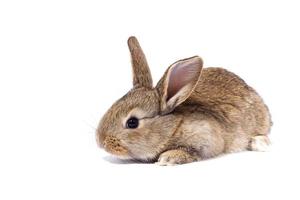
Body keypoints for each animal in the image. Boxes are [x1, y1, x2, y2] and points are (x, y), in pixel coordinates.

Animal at [96, 36, 272, 166]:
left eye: (132, 122)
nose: (100, 142)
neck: (172, 127)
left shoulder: (206, 137)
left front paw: (168, 157)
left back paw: (259, 143)